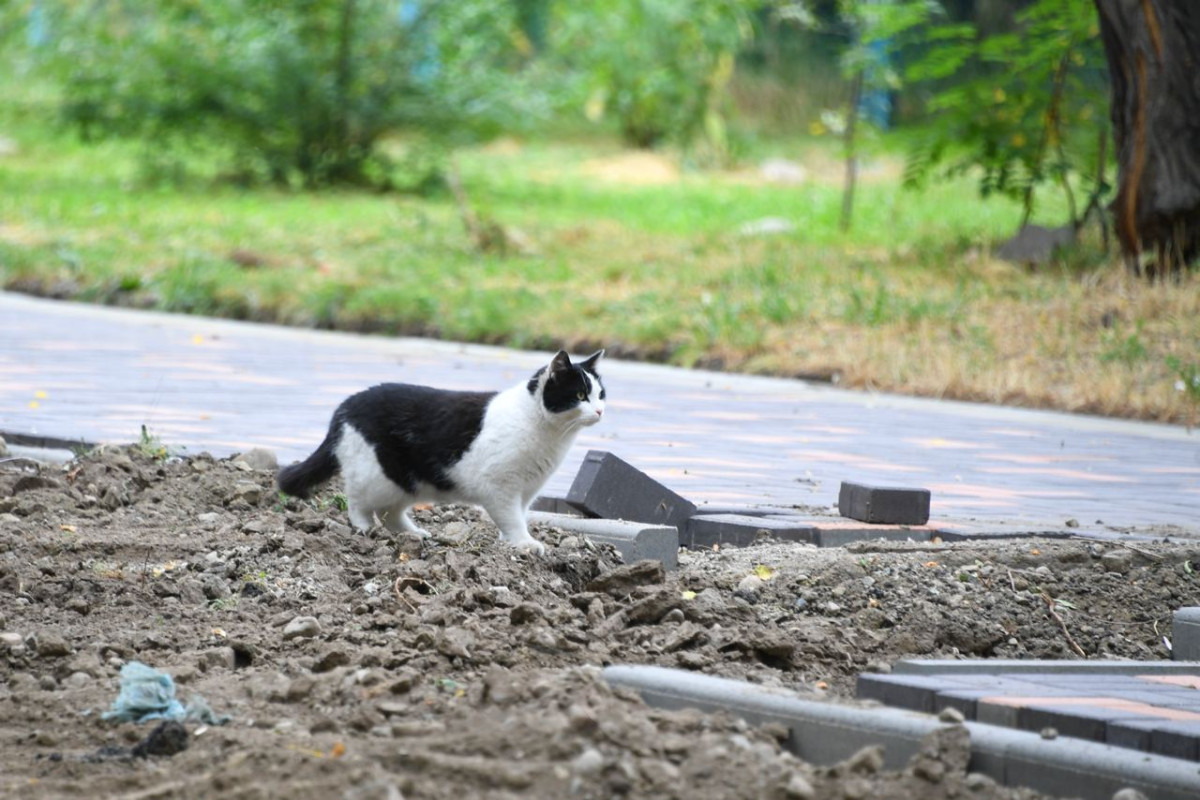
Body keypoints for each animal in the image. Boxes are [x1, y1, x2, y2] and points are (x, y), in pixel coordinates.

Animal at [276, 350, 604, 556]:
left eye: (601, 395)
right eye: (579, 395)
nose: (601, 411)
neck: (550, 435)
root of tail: (346, 405)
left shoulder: (527, 491)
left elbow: (518, 516)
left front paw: (510, 543)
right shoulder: (500, 487)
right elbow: (512, 517)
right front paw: (525, 543)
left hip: (405, 482)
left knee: (390, 511)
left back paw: (413, 534)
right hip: (374, 474)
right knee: (357, 501)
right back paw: (365, 529)